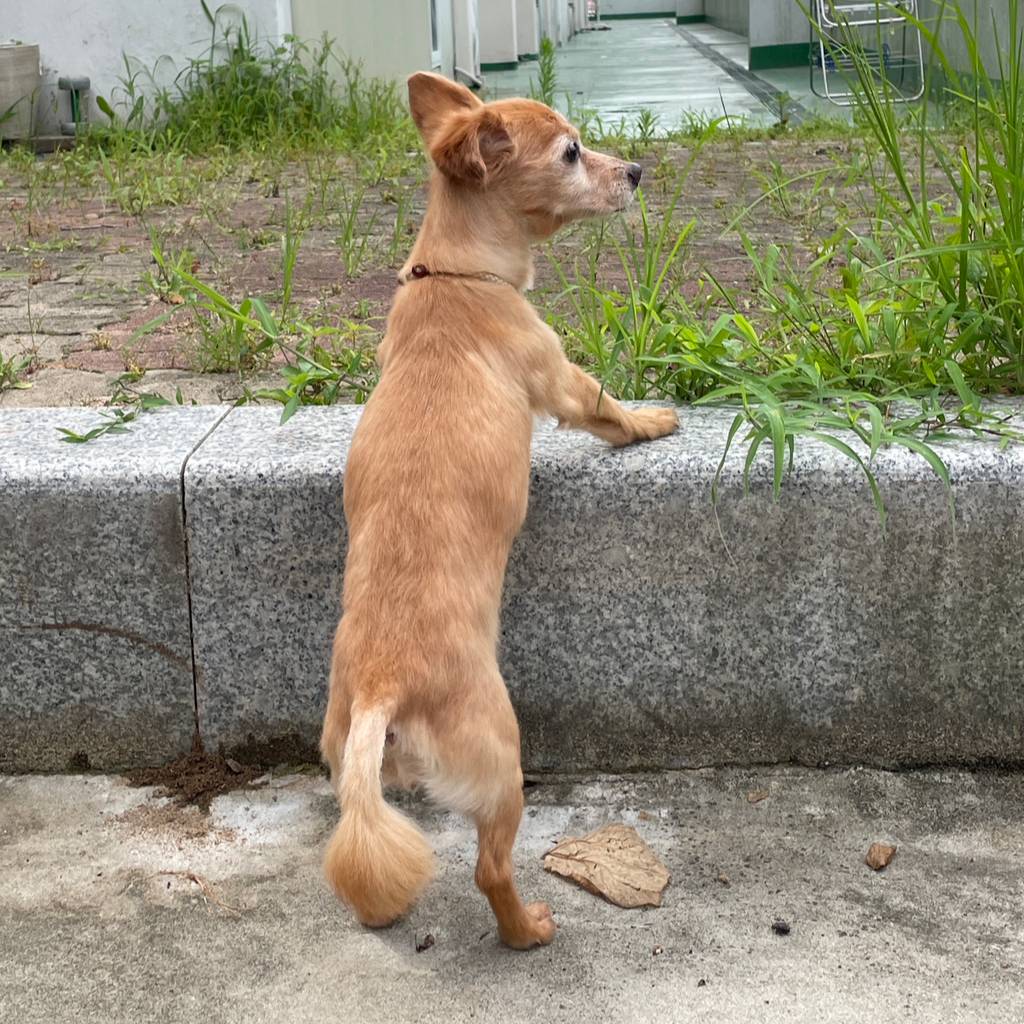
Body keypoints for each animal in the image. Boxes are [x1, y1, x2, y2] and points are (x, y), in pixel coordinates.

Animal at [319, 74, 679, 950]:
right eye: (573, 153)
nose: (638, 170)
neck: (456, 276)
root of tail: (382, 687)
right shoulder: (561, 378)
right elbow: (609, 409)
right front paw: (655, 420)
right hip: (501, 759)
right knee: (490, 868)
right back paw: (528, 930)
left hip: (349, 754)